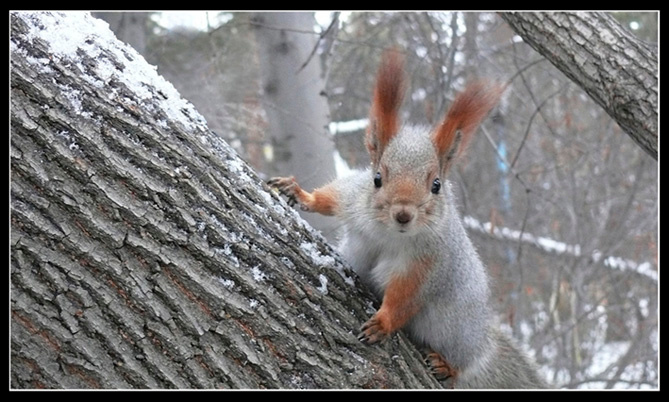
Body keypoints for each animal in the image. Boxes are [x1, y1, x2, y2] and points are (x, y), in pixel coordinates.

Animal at [268, 50, 547, 389]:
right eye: (377, 178)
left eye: (436, 185)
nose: (403, 213)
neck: (389, 233)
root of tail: (483, 343)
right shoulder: (354, 198)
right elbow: (333, 197)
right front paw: (300, 194)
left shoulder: (428, 264)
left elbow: (405, 298)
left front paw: (383, 323)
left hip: (457, 331)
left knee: (464, 364)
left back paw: (447, 365)